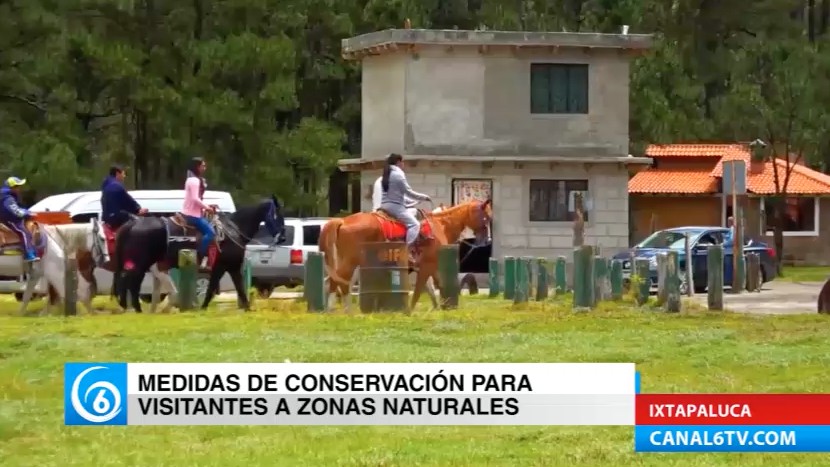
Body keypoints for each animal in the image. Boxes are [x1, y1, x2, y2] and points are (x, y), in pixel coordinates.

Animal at [111, 196, 286, 312]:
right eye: (278, 215)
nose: (283, 237)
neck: (232, 230)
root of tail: (132, 223)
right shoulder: (227, 267)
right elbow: (226, 287)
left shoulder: (226, 267)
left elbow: (225, 287)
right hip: (141, 263)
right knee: (132, 283)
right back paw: (136, 309)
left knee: (126, 281)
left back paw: (128, 306)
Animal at [322, 198, 494, 310]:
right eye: (486, 217)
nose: (486, 241)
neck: (439, 226)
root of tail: (343, 221)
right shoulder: (427, 266)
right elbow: (419, 290)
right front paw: (410, 310)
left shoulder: (431, 267)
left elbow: (436, 287)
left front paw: (441, 307)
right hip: (351, 261)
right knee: (339, 281)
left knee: (337, 281)